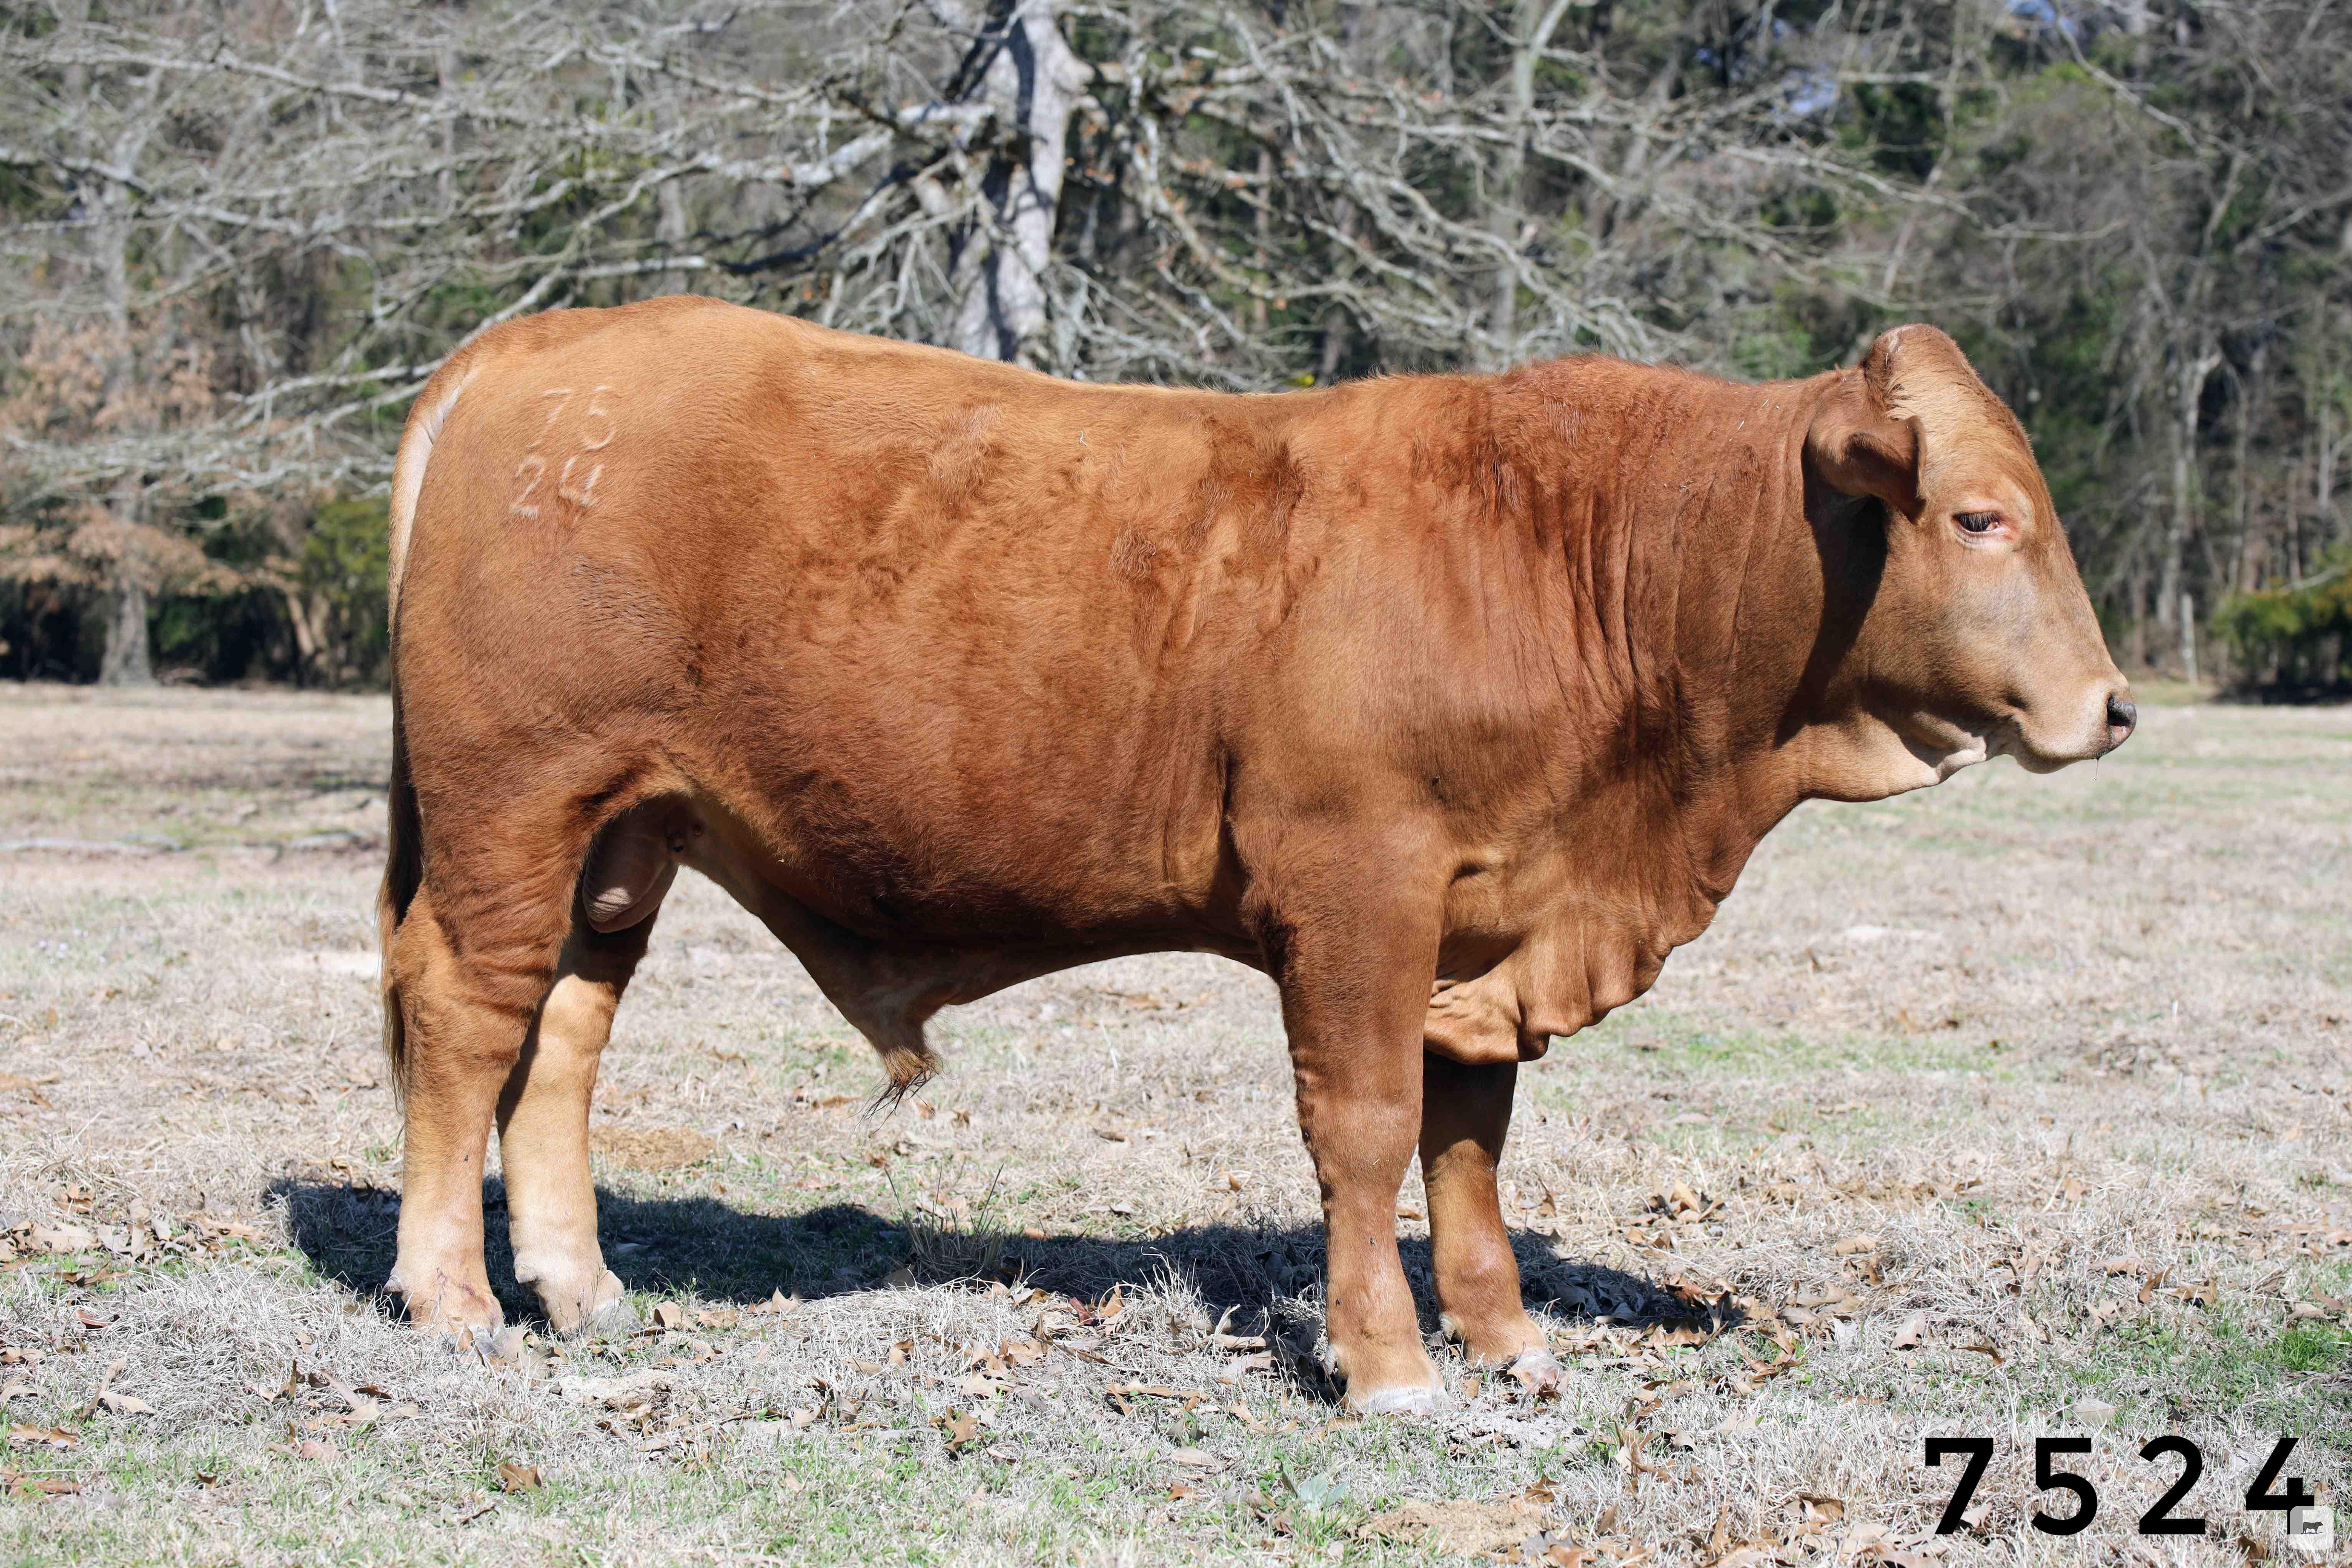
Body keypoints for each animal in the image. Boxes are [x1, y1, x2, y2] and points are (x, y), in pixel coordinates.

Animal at [379, 297, 2133, 1414]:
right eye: (1977, 518)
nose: (2112, 706)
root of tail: (536, 346)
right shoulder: (1358, 887)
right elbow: (1364, 1130)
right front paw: (1390, 1367)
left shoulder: (1484, 926)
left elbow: (1468, 1139)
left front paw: (1505, 1340)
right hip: (513, 800)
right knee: (465, 1020)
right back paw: (452, 1302)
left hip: (626, 836)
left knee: (563, 1039)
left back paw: (580, 1287)